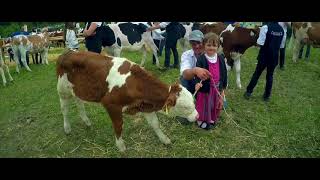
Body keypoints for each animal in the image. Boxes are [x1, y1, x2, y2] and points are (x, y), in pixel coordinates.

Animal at [56, 50, 199, 152]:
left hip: (77, 90)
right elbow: (118, 126)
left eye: (193, 100)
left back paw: (86, 121)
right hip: (62, 90)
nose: (197, 116)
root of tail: (67, 52)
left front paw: (164, 139)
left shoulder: (145, 105)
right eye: (185, 107)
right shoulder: (111, 105)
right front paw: (120, 146)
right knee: (64, 109)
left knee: (79, 103)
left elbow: (155, 124)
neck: (133, 82)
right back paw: (67, 128)